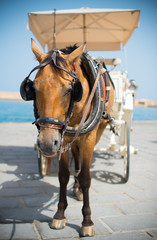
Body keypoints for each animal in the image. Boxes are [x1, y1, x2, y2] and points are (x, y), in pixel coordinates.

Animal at [28, 39, 114, 236]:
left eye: (70, 90)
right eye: (33, 88)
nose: (46, 144)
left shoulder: (88, 139)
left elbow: (86, 177)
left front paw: (87, 221)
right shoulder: (62, 139)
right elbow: (63, 175)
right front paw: (60, 215)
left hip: (98, 131)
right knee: (77, 160)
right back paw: (76, 188)